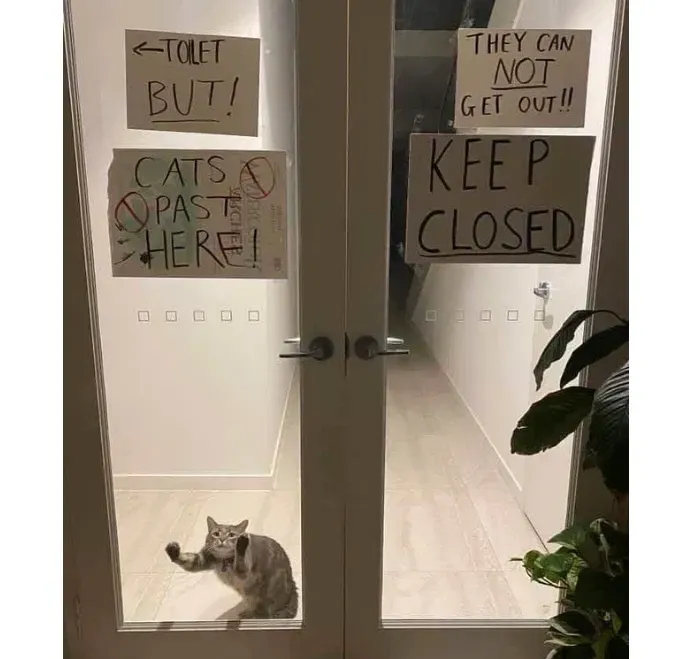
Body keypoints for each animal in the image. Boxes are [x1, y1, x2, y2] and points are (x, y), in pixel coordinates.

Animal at [165, 516, 298, 619]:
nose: (222, 539)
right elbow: (188, 560)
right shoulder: (202, 559)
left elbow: (240, 559)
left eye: (232, 535)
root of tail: (292, 585)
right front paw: (173, 551)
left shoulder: (245, 571)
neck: (224, 561)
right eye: (216, 534)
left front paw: (241, 544)